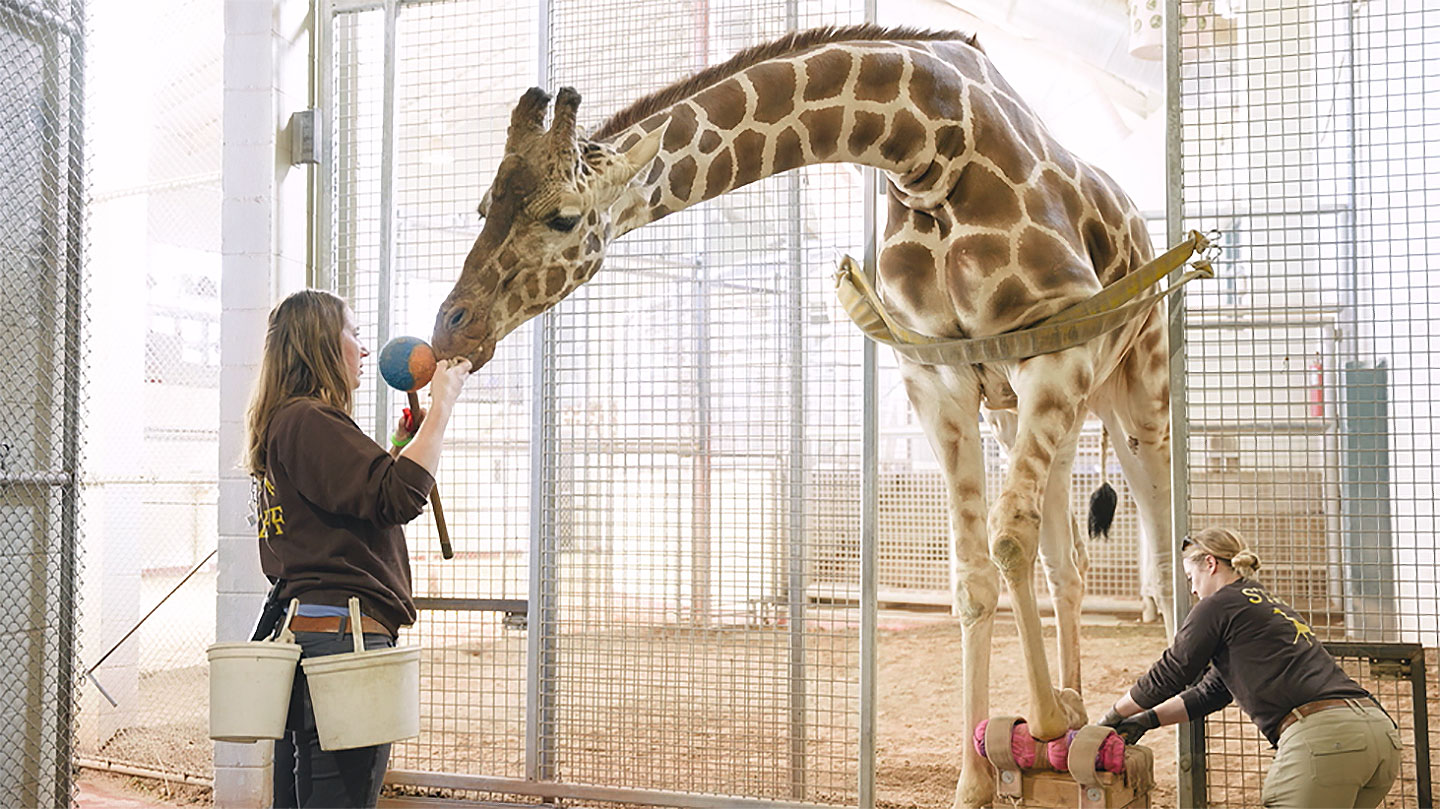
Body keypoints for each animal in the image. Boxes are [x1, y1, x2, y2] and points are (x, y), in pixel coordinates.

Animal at [432, 23, 1175, 800]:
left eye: (564, 217)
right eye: (483, 206)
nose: (452, 327)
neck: (930, 148)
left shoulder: (1054, 352)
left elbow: (1005, 541)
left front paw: (1050, 724)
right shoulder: (938, 376)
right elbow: (973, 572)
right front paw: (982, 774)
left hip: (1135, 386)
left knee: (1164, 546)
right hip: (1020, 409)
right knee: (1068, 560)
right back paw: (1074, 707)